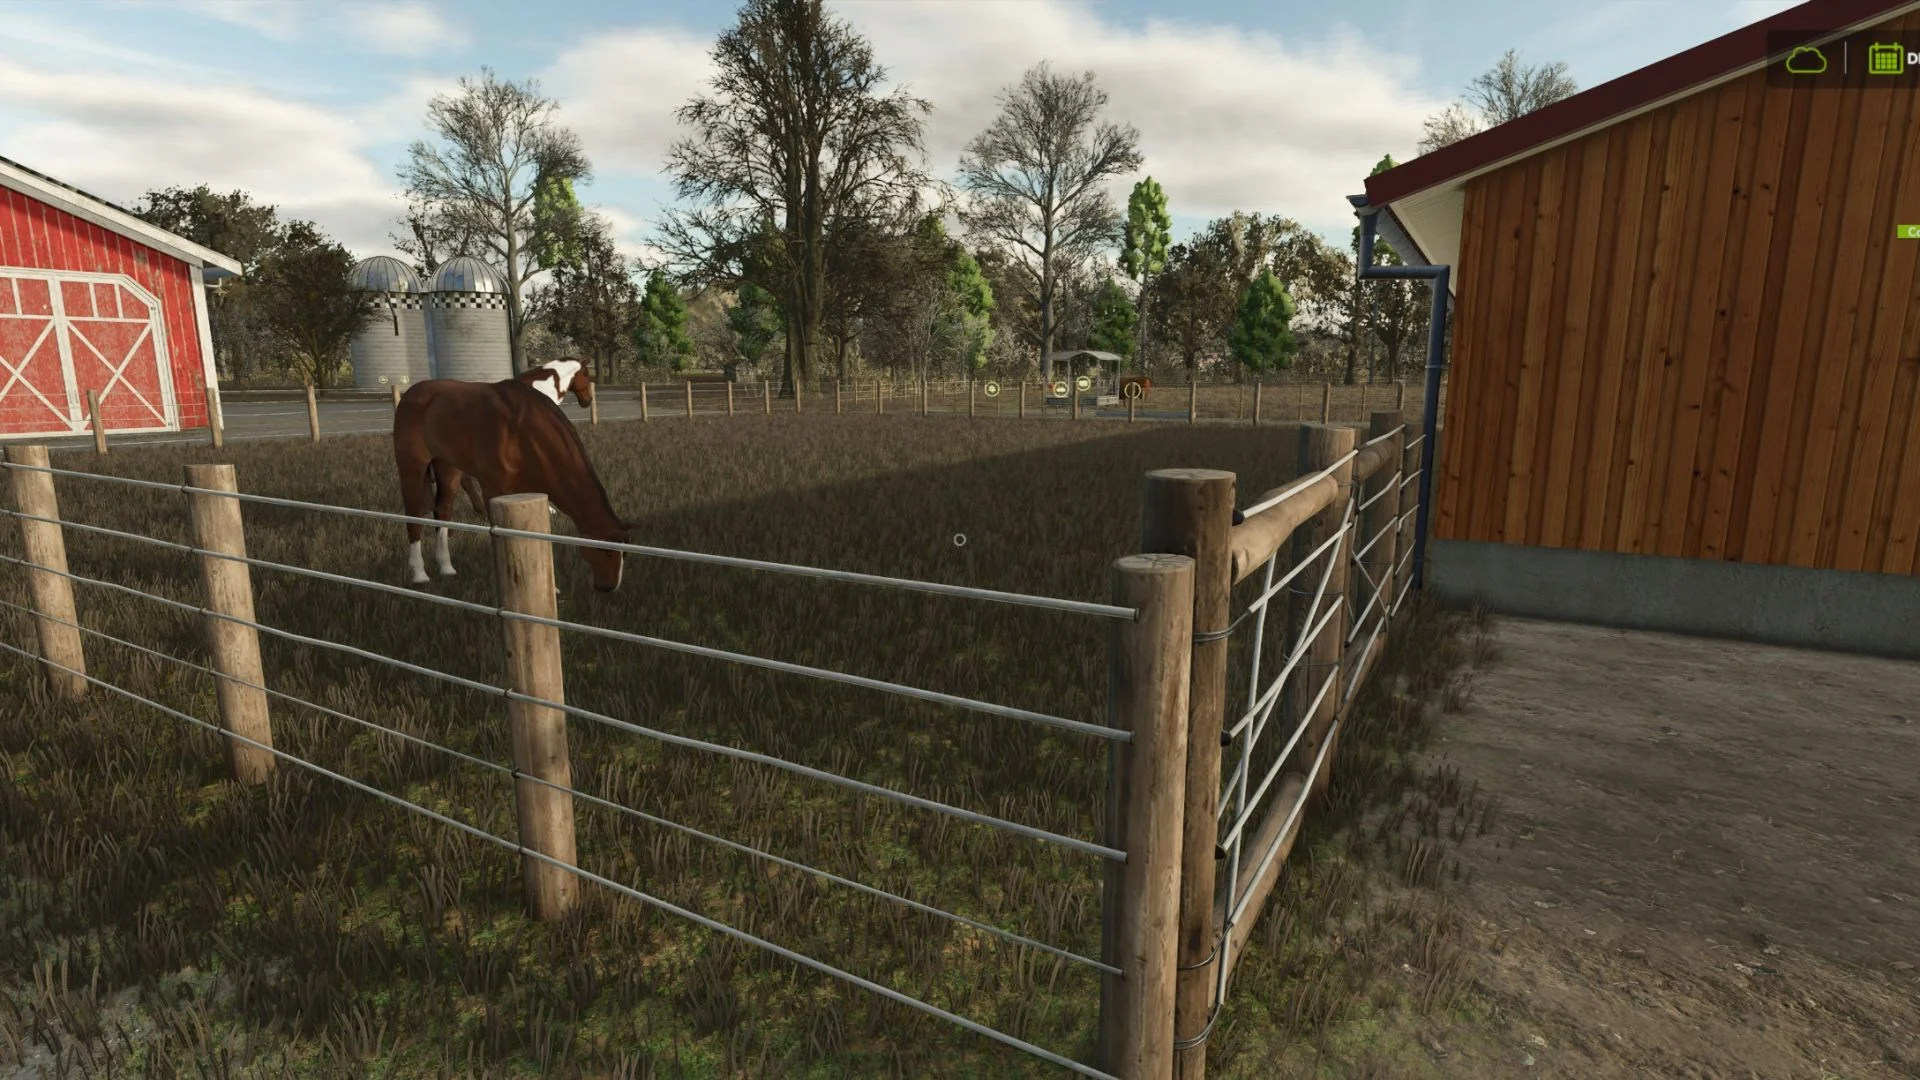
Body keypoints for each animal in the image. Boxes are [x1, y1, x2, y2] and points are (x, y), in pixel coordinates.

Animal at [392, 369, 629, 592]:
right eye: (606, 551)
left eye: (624, 553)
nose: (608, 587)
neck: (522, 430)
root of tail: (411, 393)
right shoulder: (493, 488)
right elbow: (499, 536)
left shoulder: (532, 493)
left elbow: (538, 534)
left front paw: (548, 587)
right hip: (412, 467)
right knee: (414, 515)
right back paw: (419, 574)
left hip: (448, 467)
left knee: (442, 510)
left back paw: (446, 567)